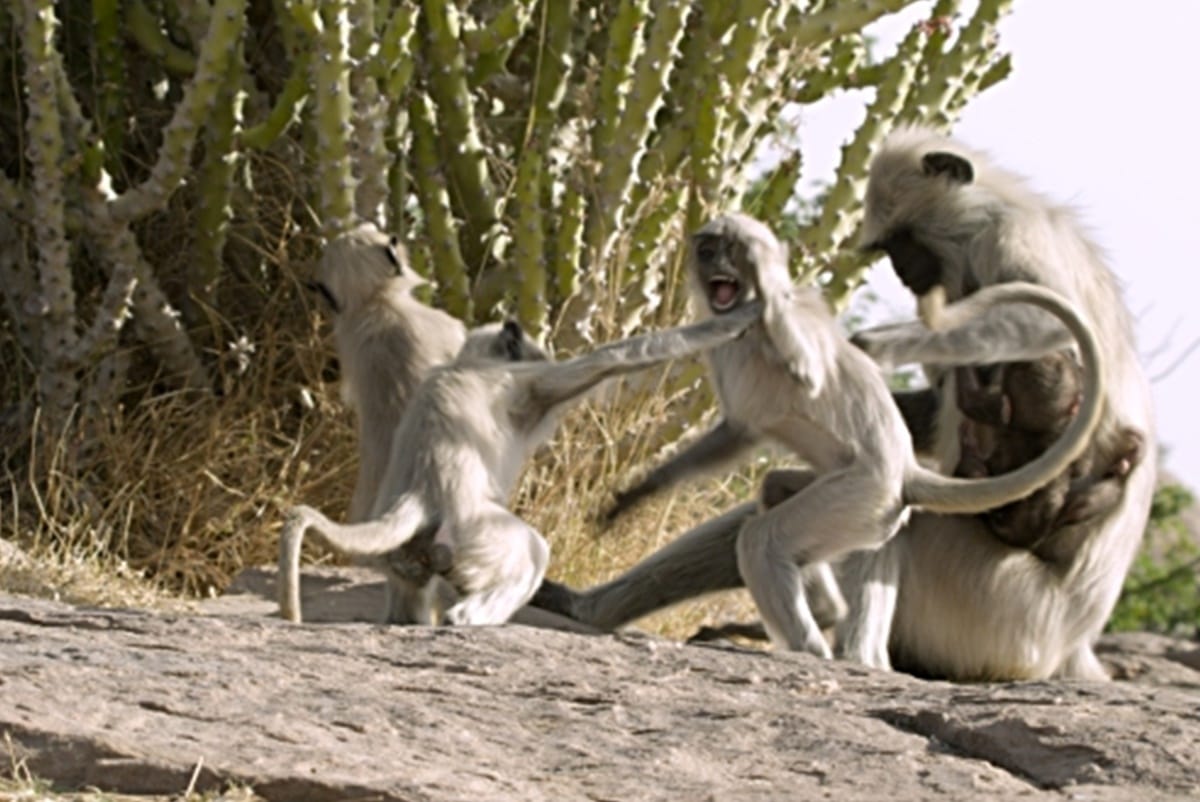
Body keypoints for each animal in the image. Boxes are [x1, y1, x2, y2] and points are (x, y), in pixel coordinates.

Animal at [279, 304, 763, 627]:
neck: (469, 364)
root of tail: (417, 494)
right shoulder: (529, 381)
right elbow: (616, 357)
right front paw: (736, 321)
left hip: (405, 556)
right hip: (474, 536)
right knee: (533, 550)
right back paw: (470, 617)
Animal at [595, 212, 1103, 657]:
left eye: (729, 251)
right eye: (707, 250)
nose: (717, 262)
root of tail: (908, 473)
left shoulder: (790, 321)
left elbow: (806, 372)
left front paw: (767, 271)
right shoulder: (723, 342)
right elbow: (739, 432)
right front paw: (639, 492)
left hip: (863, 496)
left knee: (761, 541)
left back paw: (809, 645)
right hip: (859, 506)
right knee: (774, 491)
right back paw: (825, 611)